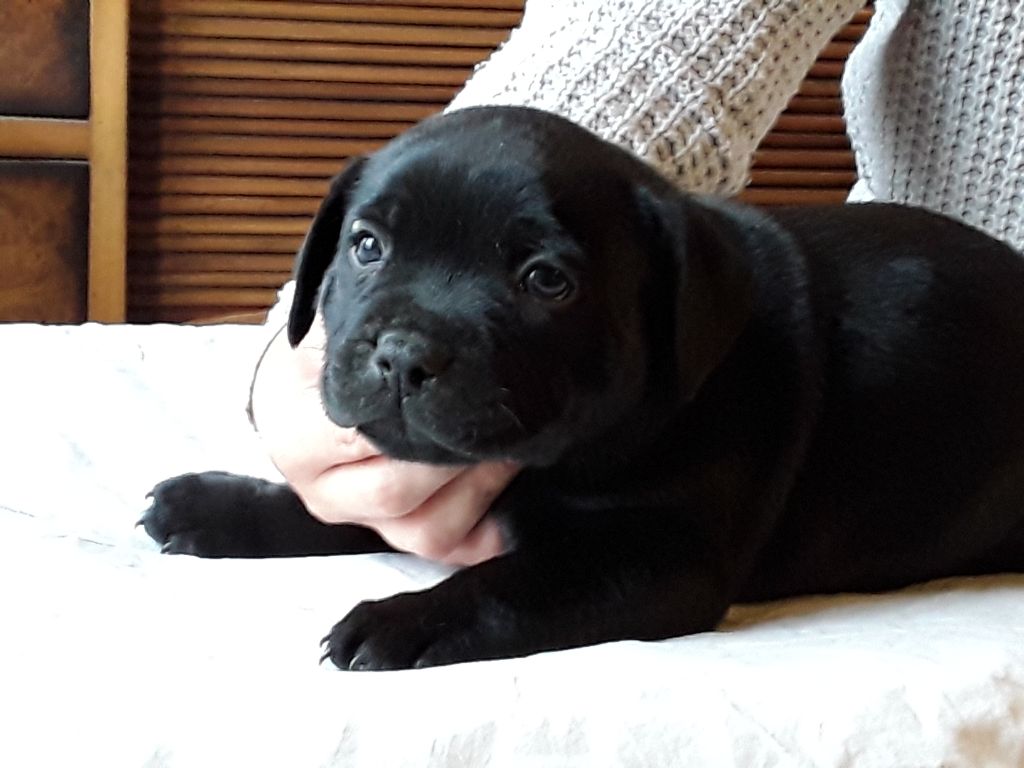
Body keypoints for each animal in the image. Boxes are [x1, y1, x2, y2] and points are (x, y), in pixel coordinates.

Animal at [141, 106, 1024, 670]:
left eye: (547, 281)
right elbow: (344, 512)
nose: (401, 354)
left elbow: (509, 583)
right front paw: (218, 505)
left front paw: (405, 619)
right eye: (365, 246)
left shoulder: (655, 559)